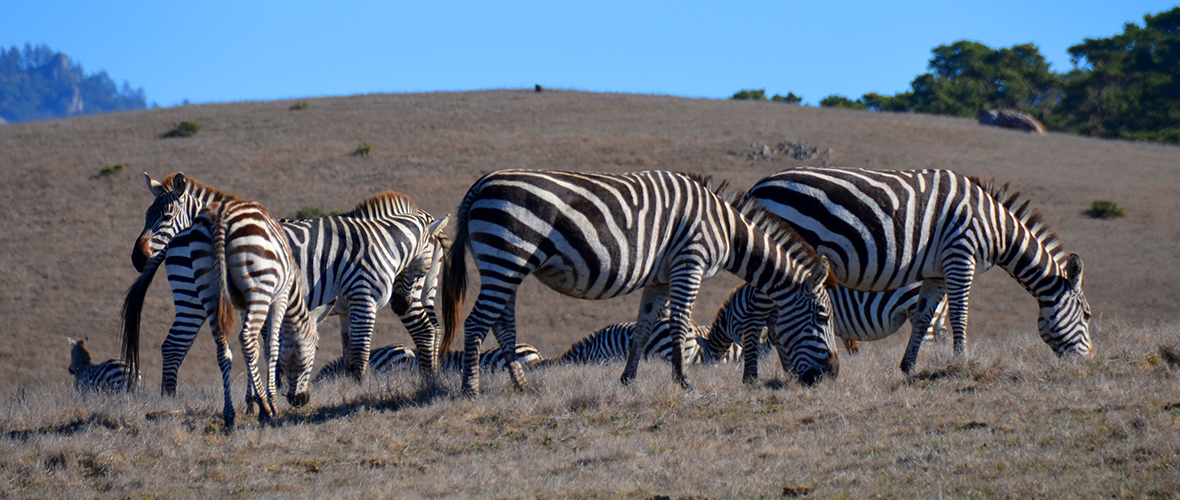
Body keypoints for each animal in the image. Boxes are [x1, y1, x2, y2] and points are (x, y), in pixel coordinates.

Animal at [124, 173, 446, 393]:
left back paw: (430, 378)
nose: (137, 258)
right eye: (146, 215)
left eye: (166, 216)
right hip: (190, 296)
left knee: (428, 330)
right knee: (173, 346)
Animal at [124, 196, 320, 426]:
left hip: (208, 288)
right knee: (239, 339)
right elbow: (271, 347)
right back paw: (264, 406)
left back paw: (228, 412)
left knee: (221, 348)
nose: (301, 400)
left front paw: (250, 401)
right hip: (251, 288)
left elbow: (255, 349)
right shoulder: (278, 297)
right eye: (315, 348)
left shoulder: (243, 304)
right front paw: (268, 400)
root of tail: (220, 217)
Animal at [443, 169, 840, 396]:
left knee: (503, 326)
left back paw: (522, 387)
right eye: (823, 318)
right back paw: (469, 391)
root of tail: (481, 185)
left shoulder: (660, 279)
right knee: (477, 323)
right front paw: (684, 383)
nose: (832, 374)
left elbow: (644, 328)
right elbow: (679, 323)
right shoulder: (689, 261)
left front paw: (627, 381)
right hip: (506, 256)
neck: (727, 230)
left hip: (507, 264)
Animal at [741, 168, 1090, 374]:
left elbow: (924, 316)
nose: (1090, 362)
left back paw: (788, 369)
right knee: (757, 316)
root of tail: (757, 186)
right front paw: (961, 362)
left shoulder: (937, 271)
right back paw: (756, 375)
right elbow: (959, 314)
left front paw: (907, 366)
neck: (996, 226)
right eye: (1087, 315)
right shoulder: (960, 254)